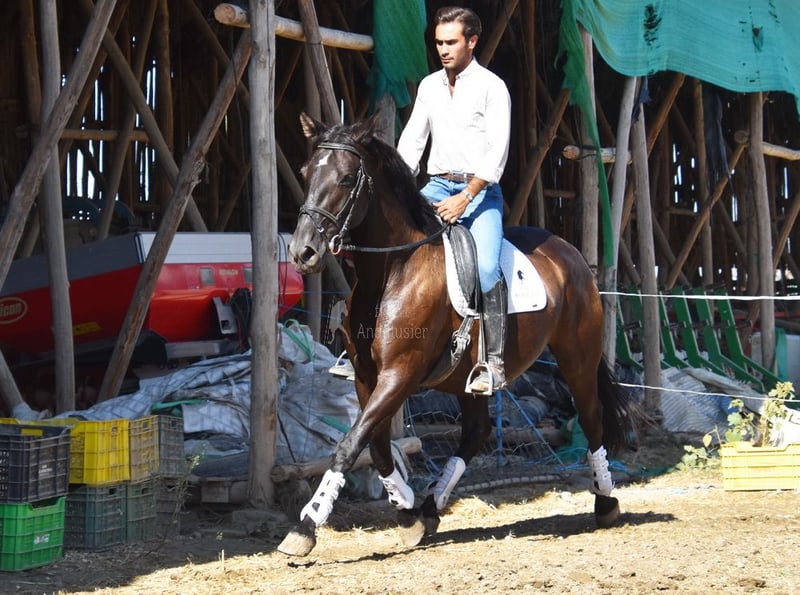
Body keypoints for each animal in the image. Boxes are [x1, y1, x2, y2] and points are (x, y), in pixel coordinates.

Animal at [279, 110, 641, 557]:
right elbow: (376, 446)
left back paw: (605, 501)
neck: (393, 270)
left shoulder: (400, 374)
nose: (302, 252)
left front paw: (306, 526)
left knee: (591, 419)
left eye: (347, 179)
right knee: (476, 432)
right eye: (305, 172)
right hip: (466, 378)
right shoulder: (366, 377)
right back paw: (431, 507)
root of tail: (569, 253)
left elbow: (350, 444)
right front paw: (407, 512)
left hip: (577, 359)